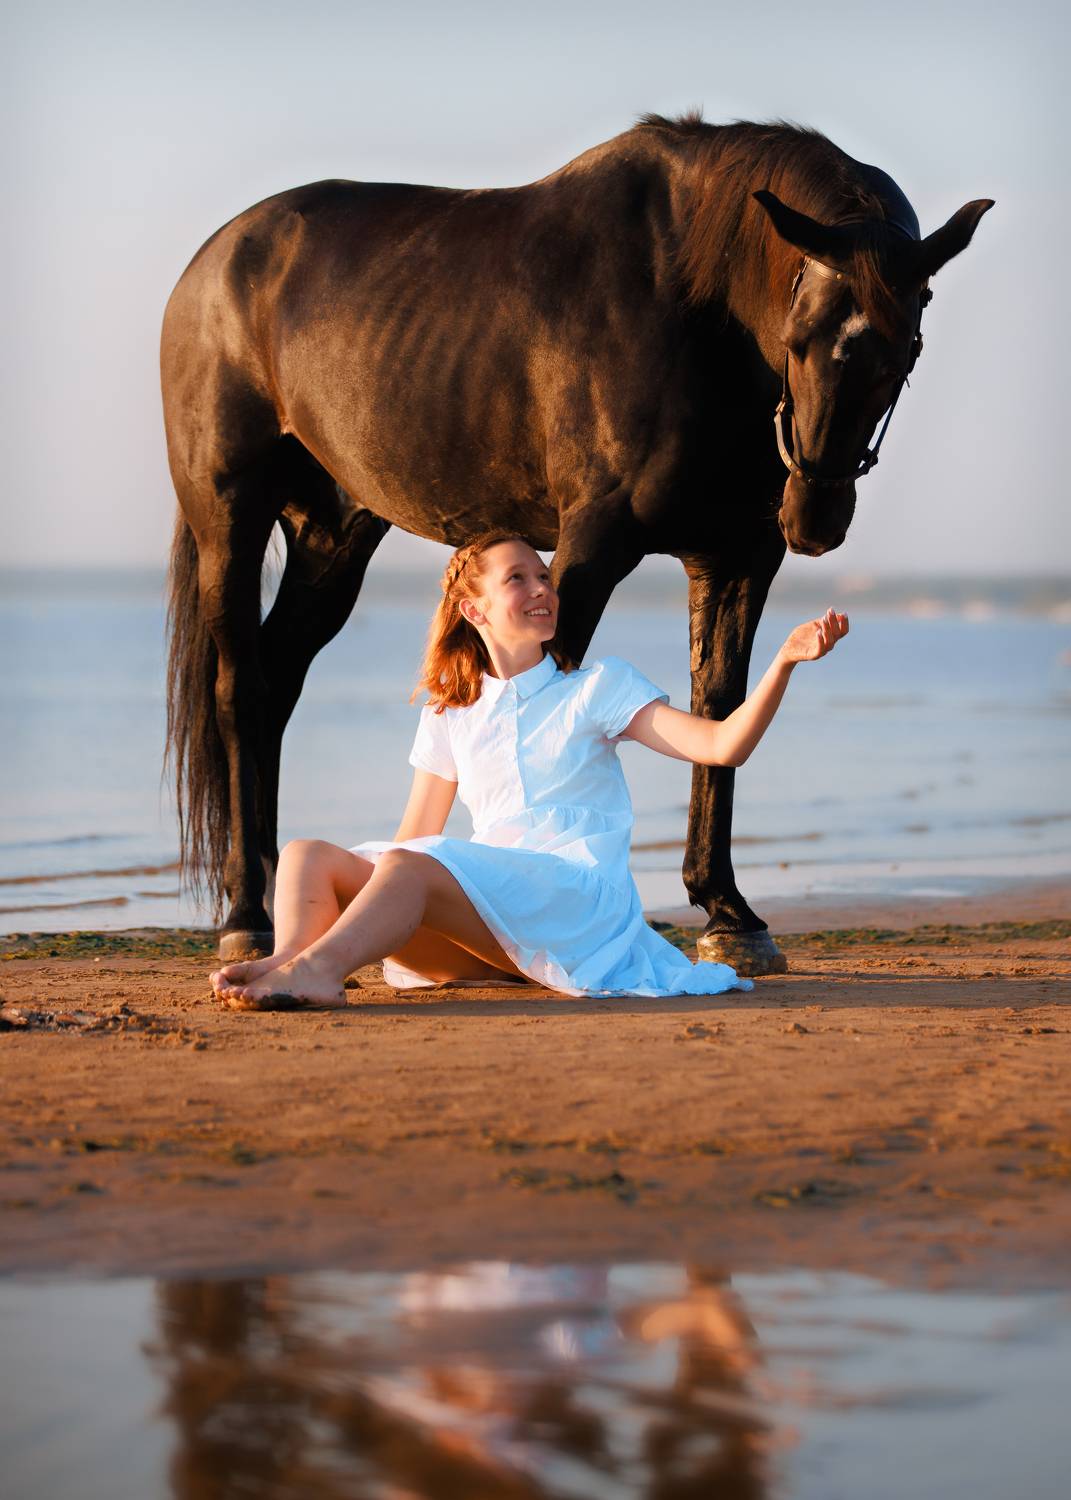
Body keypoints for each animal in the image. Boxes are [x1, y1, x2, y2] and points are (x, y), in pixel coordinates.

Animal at [161, 112, 992, 973]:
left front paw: (728, 913)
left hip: (333, 536)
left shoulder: (735, 560)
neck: (696, 307)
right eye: (798, 337)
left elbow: (717, 709)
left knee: (277, 680)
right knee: (239, 689)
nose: (814, 517)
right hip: (229, 518)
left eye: (902, 350)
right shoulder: (593, 544)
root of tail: (215, 259)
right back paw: (245, 911)